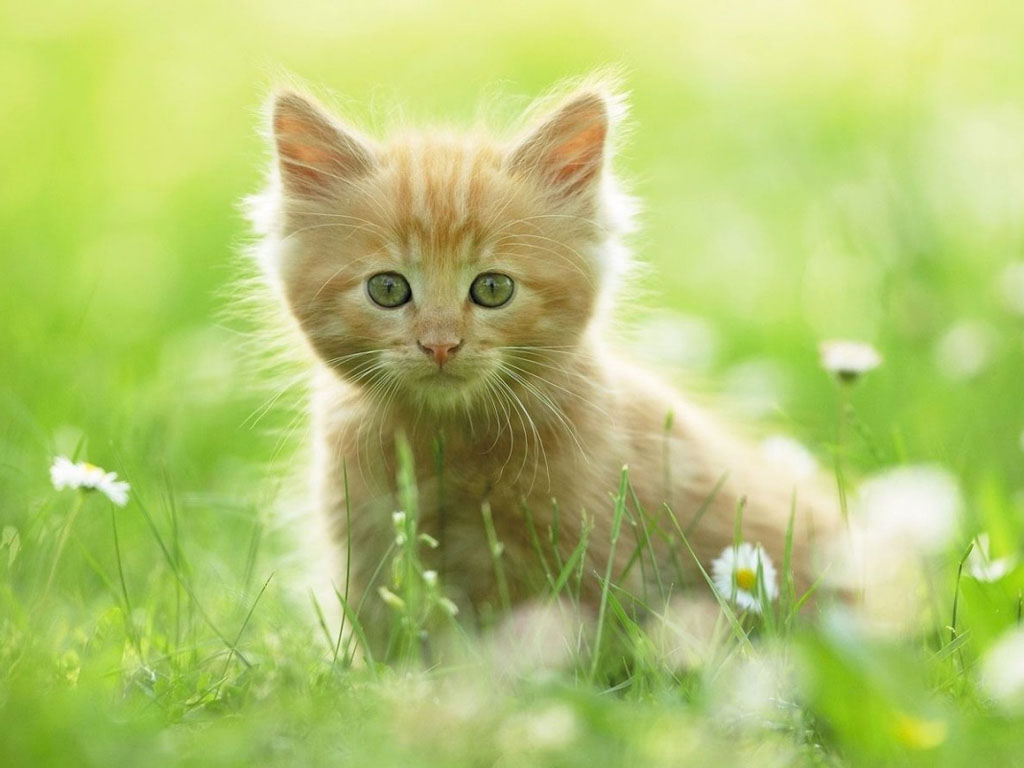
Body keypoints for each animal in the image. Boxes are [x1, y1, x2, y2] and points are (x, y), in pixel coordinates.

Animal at [249, 78, 839, 647]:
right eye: (388, 289)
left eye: (492, 288)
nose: (440, 344)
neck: (447, 442)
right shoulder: (367, 540)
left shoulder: (591, 548)